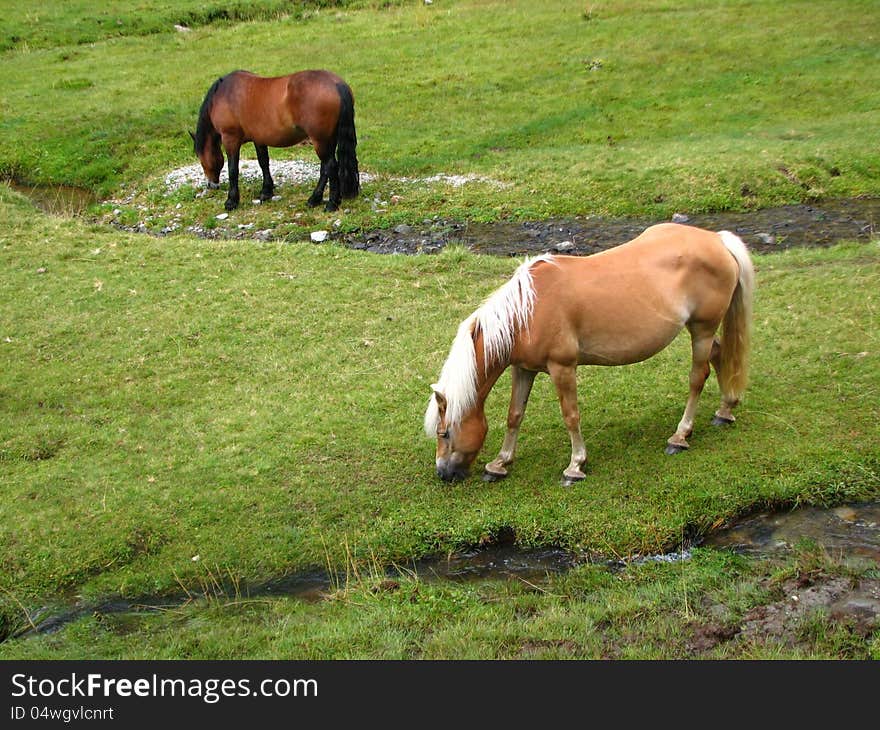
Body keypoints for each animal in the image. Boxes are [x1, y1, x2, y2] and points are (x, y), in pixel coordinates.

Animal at [191, 69, 360, 210]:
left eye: (201, 158)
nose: (211, 185)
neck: (224, 94)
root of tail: (336, 84)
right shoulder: (259, 139)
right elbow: (263, 162)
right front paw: (266, 192)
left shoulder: (230, 139)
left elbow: (233, 169)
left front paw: (231, 201)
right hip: (327, 139)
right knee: (325, 168)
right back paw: (314, 199)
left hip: (320, 140)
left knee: (330, 166)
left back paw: (331, 204)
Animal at [426, 222, 756, 484]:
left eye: (444, 434)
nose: (443, 473)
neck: (527, 311)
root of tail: (717, 239)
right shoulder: (524, 368)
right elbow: (514, 415)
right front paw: (500, 463)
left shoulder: (562, 367)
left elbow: (570, 415)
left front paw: (575, 466)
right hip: (702, 332)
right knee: (719, 354)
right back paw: (725, 409)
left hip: (702, 330)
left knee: (697, 377)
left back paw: (680, 436)